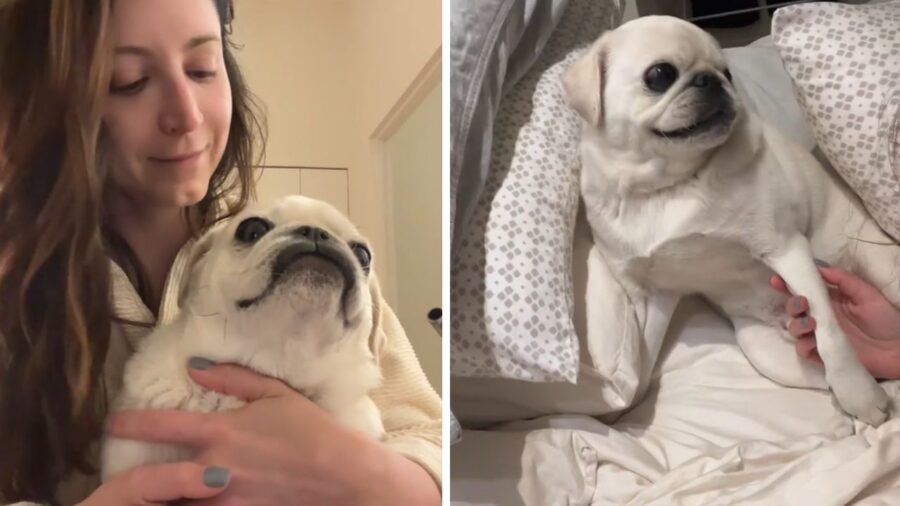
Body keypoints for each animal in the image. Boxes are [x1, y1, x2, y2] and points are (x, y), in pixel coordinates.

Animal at [564, 15, 900, 424]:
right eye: (660, 75)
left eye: (727, 72)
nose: (713, 80)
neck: (668, 185)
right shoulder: (649, 295)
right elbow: (641, 356)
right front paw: (625, 403)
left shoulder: (786, 250)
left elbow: (830, 332)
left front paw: (859, 393)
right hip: (762, 349)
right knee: (825, 375)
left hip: (880, 266)